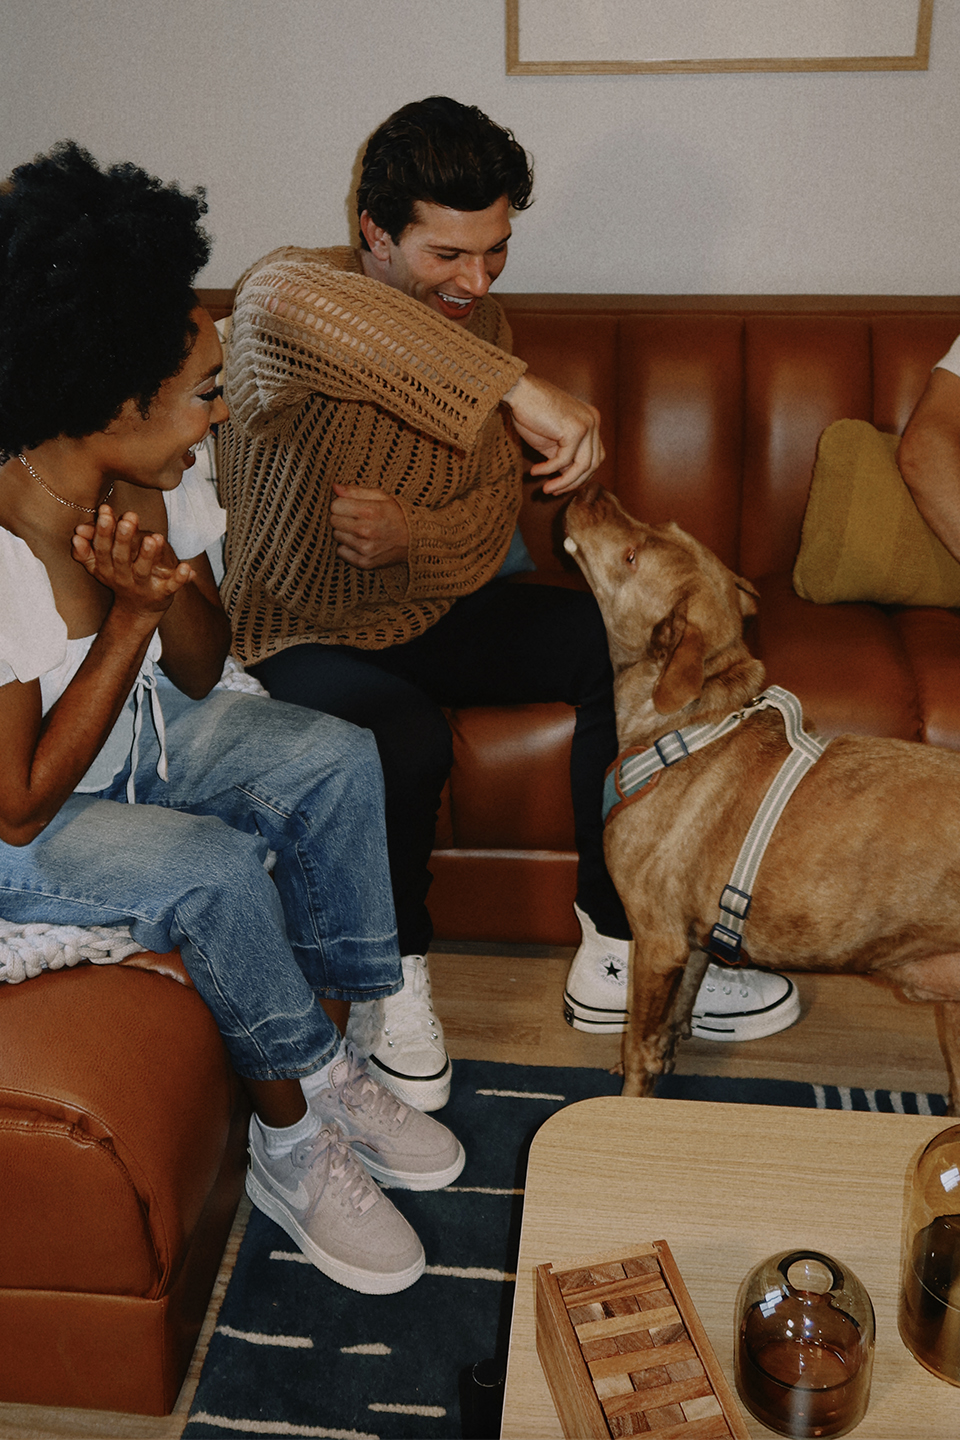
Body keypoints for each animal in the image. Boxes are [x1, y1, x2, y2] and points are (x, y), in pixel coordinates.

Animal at [567, 486, 960, 1111]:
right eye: (661, 523)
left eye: (631, 557)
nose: (589, 489)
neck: (690, 719)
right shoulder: (693, 939)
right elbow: (678, 1010)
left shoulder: (655, 937)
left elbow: (639, 1041)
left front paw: (629, 1099)